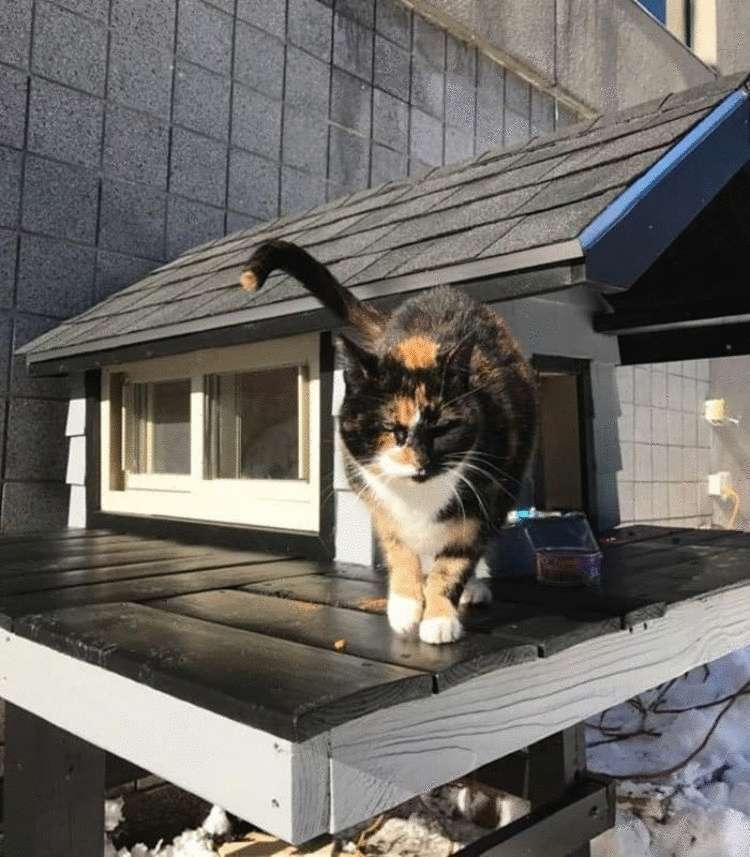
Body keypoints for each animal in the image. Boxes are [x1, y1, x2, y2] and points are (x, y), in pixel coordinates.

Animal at [242, 239, 540, 640]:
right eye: (390, 429)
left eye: (442, 428)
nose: (421, 461)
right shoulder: (375, 498)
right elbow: (399, 548)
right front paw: (405, 604)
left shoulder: (485, 496)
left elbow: (455, 561)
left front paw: (439, 618)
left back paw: (473, 588)